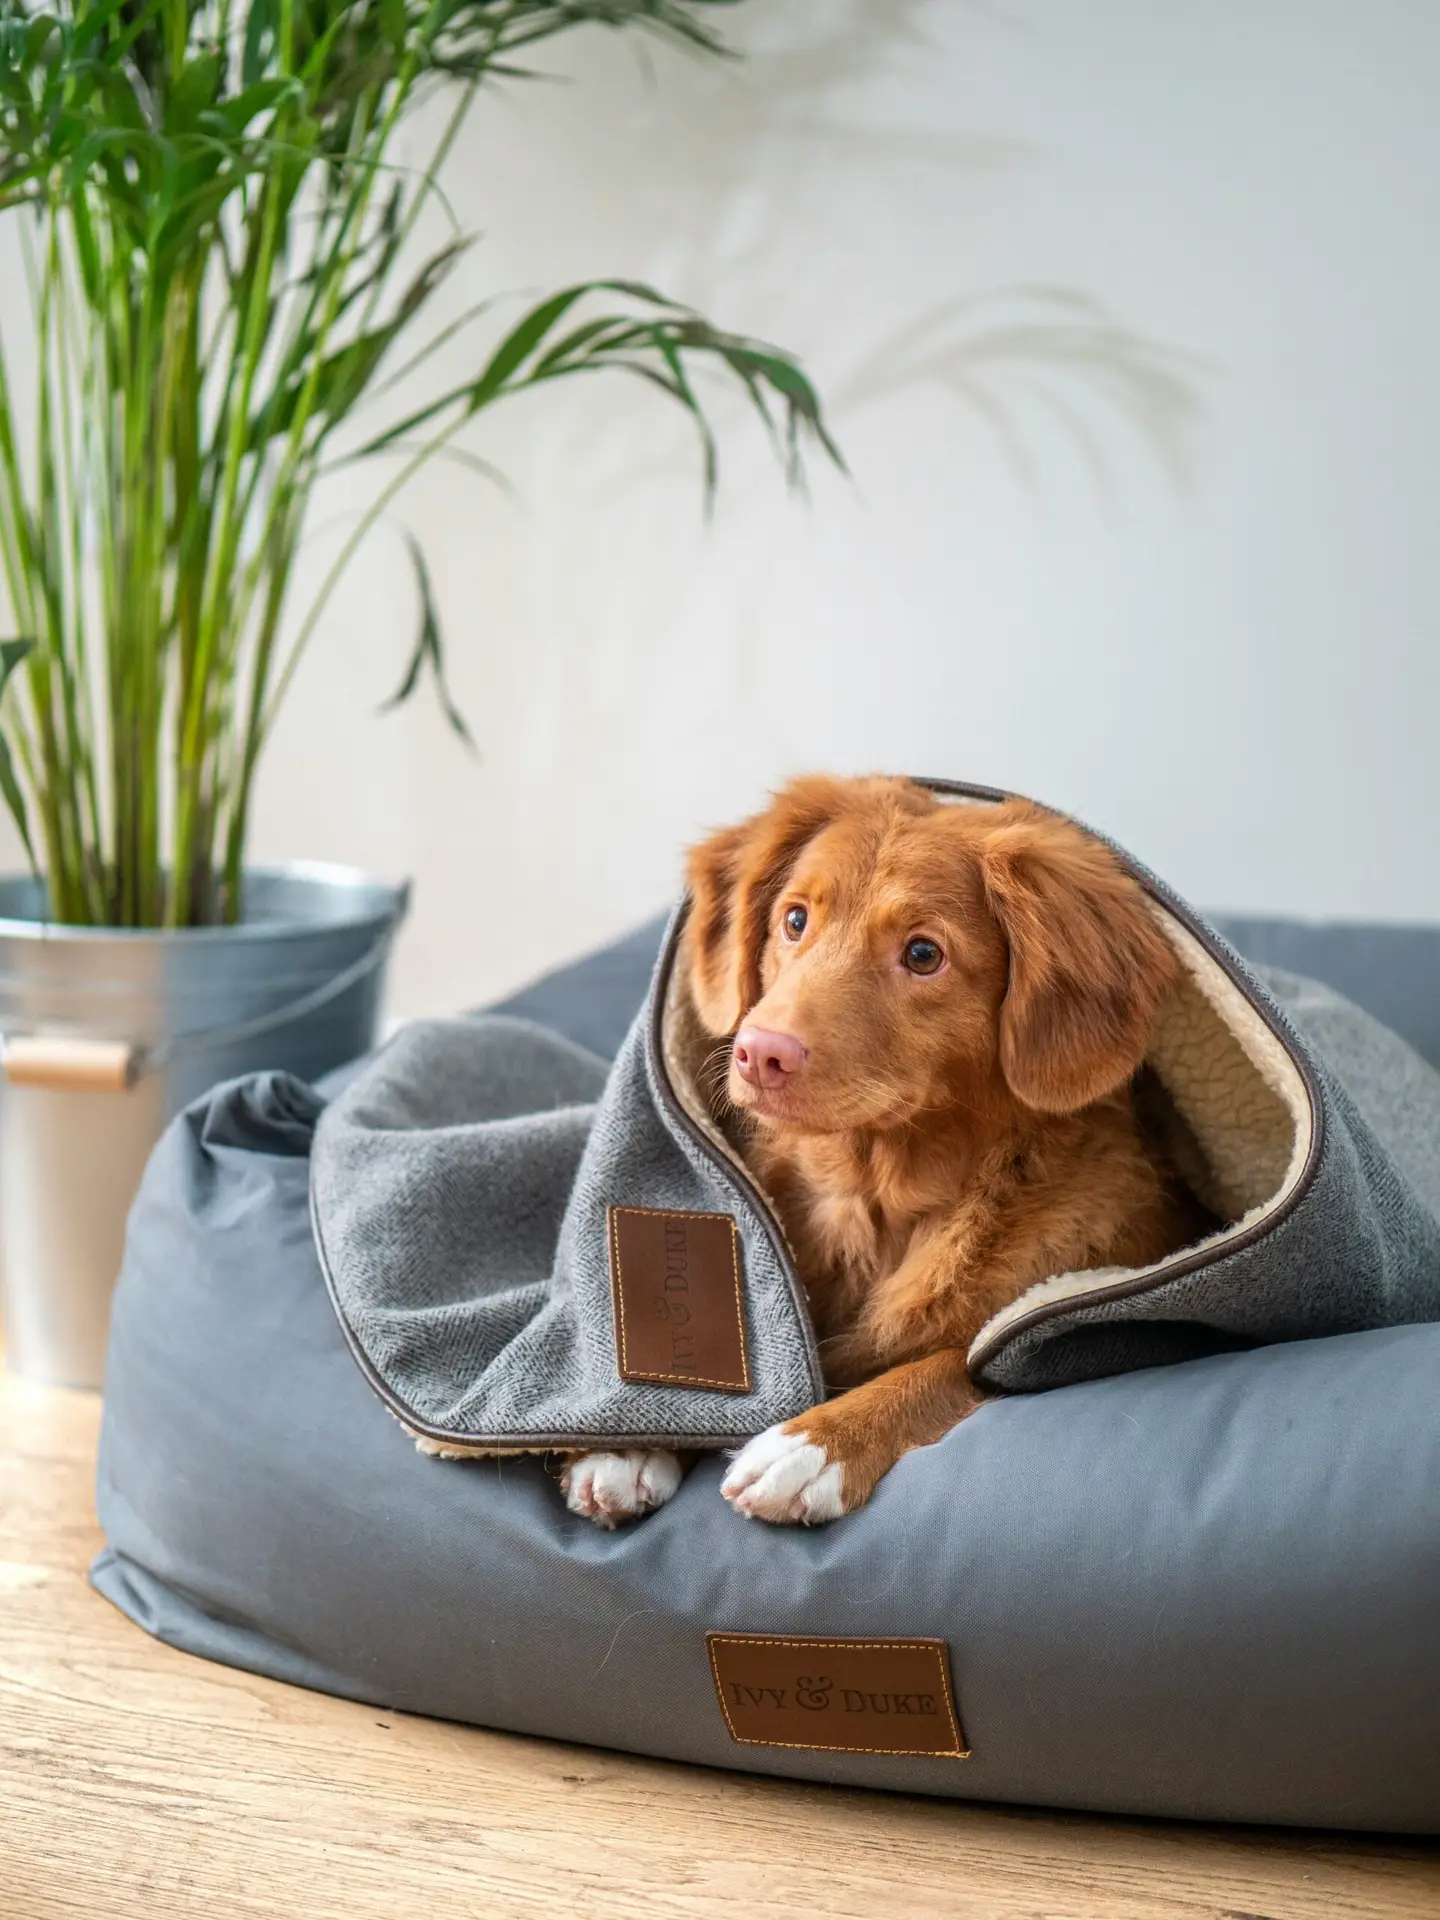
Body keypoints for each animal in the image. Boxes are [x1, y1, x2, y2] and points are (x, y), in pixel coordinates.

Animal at [564, 771, 1205, 1520]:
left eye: (923, 955)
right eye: (795, 920)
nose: (760, 1053)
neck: (875, 1192)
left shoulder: (1086, 1327)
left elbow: (948, 1365)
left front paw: (817, 1443)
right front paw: (628, 1440)